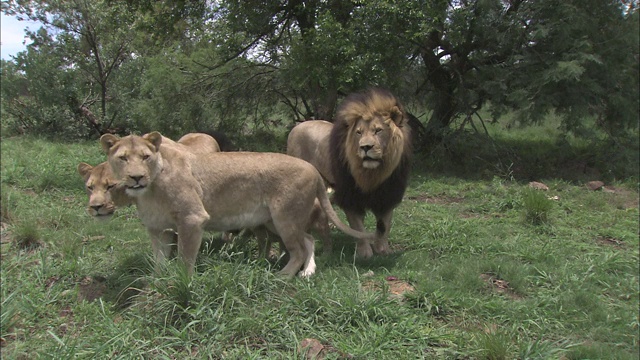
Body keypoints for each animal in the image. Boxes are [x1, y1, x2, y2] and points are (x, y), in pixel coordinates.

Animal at [288, 89, 412, 258]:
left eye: (378, 130)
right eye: (359, 133)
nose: (365, 147)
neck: (373, 173)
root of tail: (297, 126)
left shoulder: (387, 195)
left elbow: (385, 225)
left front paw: (383, 250)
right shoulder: (350, 197)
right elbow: (358, 226)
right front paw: (365, 253)